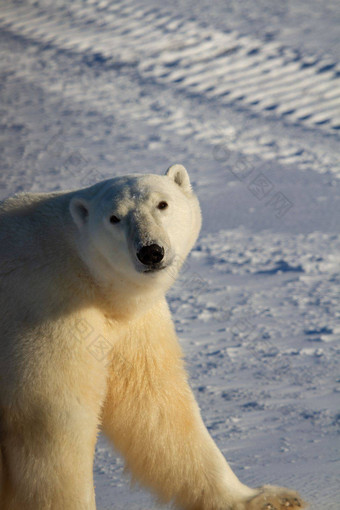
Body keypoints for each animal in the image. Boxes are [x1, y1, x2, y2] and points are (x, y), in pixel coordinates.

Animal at [0, 165, 306, 508]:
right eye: (114, 217)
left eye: (162, 204)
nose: (150, 252)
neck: (84, 273)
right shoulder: (43, 311)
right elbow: (53, 422)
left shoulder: (132, 324)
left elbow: (155, 405)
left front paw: (267, 498)